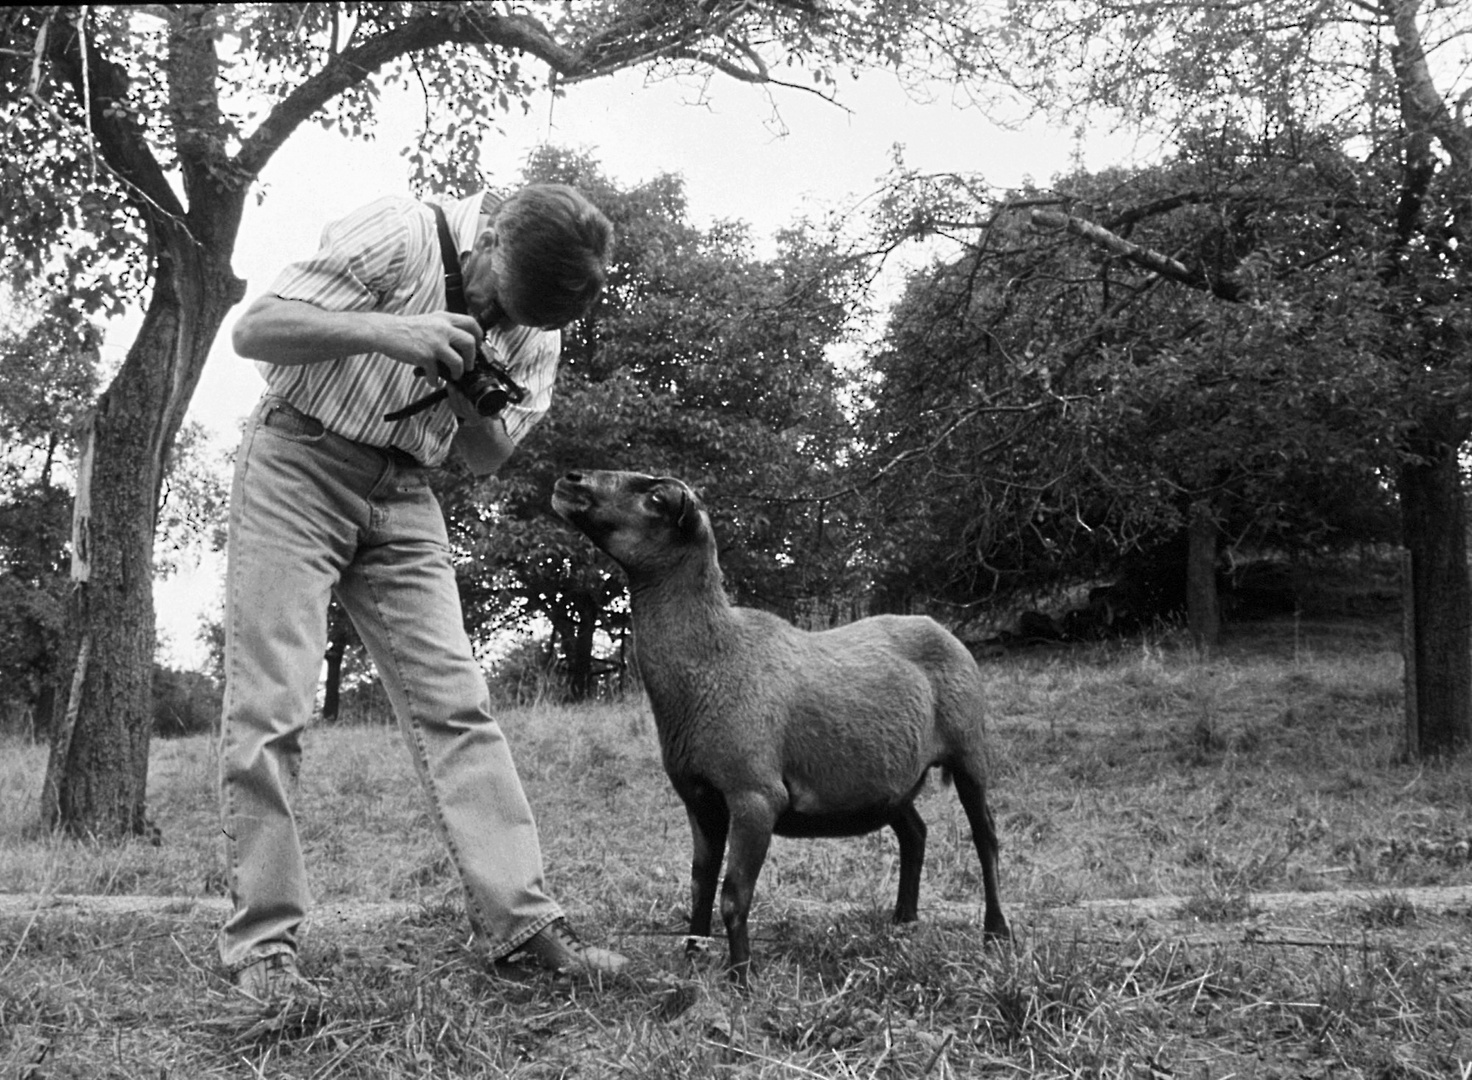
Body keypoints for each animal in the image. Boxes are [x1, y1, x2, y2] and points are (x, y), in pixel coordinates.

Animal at [553, 470, 1012, 982]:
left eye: (656, 497)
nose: (570, 480)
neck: (714, 659)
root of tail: (943, 628)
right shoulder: (700, 797)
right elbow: (699, 883)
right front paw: (693, 959)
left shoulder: (755, 793)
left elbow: (734, 894)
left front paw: (741, 978)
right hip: (887, 779)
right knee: (915, 833)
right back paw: (902, 921)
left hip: (969, 750)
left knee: (986, 838)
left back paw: (996, 933)